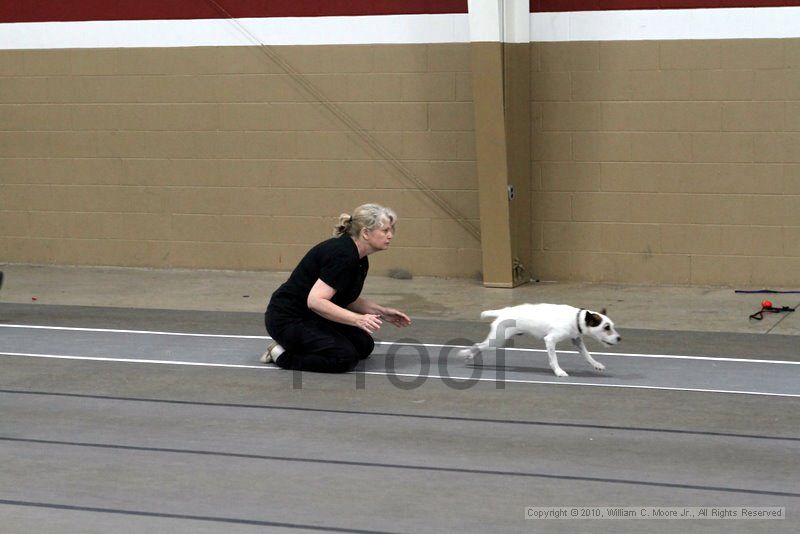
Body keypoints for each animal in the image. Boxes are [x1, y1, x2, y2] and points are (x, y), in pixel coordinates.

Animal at [460, 304, 620, 378]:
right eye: (606, 327)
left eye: (612, 326)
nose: (619, 338)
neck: (576, 319)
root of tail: (505, 311)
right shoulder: (550, 340)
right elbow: (554, 358)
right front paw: (558, 371)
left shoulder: (577, 340)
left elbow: (587, 355)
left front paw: (596, 364)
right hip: (497, 340)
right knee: (478, 345)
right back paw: (466, 353)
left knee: (479, 346)